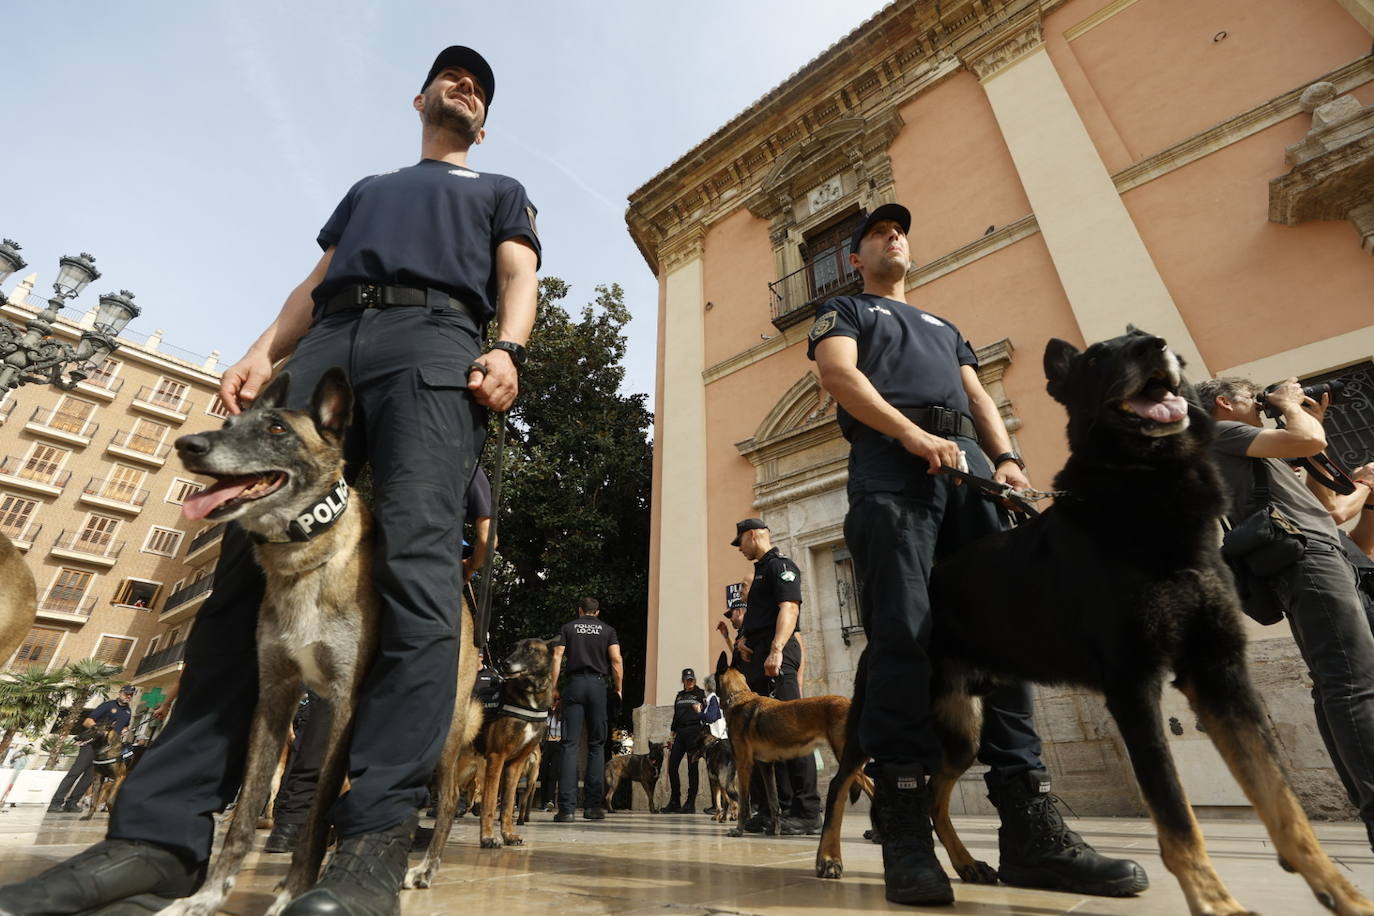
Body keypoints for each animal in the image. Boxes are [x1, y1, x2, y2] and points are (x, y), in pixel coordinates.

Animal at [158, 370, 480, 916]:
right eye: (229, 424)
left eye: (276, 429)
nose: (189, 445)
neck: (306, 556)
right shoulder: (277, 696)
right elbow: (246, 813)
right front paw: (208, 894)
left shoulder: (349, 701)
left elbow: (317, 812)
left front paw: (294, 891)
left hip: (443, 729)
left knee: (450, 799)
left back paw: (423, 868)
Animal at [403, 637, 555, 889]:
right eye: (514, 648)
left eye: (530, 650)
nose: (505, 663)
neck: (529, 697)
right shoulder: (496, 758)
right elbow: (491, 803)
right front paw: (488, 838)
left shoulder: (515, 765)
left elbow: (507, 805)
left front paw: (508, 835)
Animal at [708, 650, 868, 840]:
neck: (739, 696)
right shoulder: (766, 766)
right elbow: (773, 802)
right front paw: (774, 830)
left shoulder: (744, 764)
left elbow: (744, 802)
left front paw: (739, 830)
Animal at [813, 333, 1374, 916]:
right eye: (1100, 356)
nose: (1156, 347)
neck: (1144, 498)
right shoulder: (1133, 688)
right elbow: (1176, 816)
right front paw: (1215, 902)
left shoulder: (1221, 677)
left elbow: (1283, 805)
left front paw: (1342, 893)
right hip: (875, 712)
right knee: (847, 781)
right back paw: (832, 857)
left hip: (962, 731)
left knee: (936, 796)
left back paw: (967, 863)